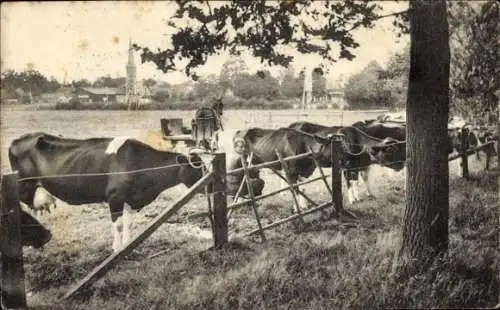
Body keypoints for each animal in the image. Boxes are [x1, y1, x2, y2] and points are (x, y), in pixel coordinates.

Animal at [8, 133, 203, 252]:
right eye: (197, 168)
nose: (207, 185)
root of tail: (17, 140)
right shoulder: (115, 197)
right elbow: (118, 225)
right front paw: (117, 248)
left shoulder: (132, 200)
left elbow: (129, 223)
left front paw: (128, 245)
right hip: (22, 187)